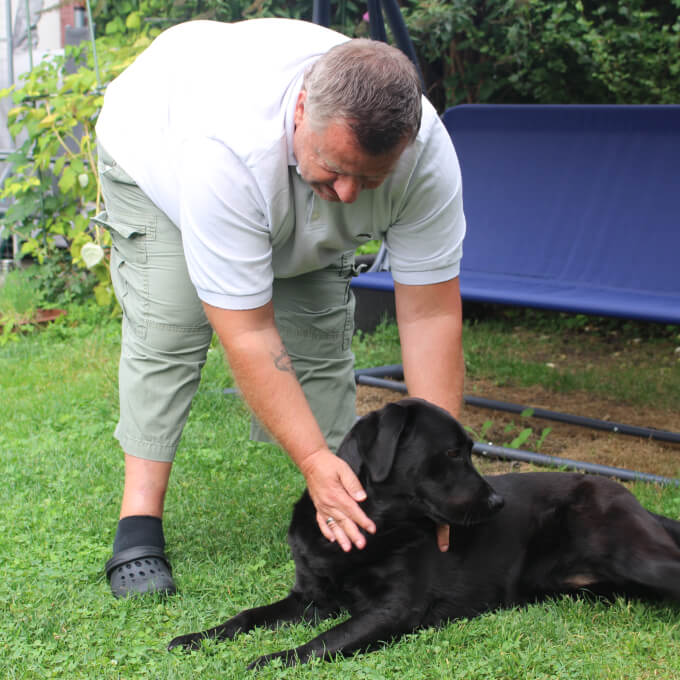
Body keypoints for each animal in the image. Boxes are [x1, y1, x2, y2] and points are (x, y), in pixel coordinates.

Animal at [169, 396, 680, 668]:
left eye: (469, 451)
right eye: (453, 452)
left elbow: (325, 641)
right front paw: (196, 638)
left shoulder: (393, 609)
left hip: (633, 553)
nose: (497, 503)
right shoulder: (310, 599)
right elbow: (246, 616)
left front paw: (271, 660)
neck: (375, 528)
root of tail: (635, 500)